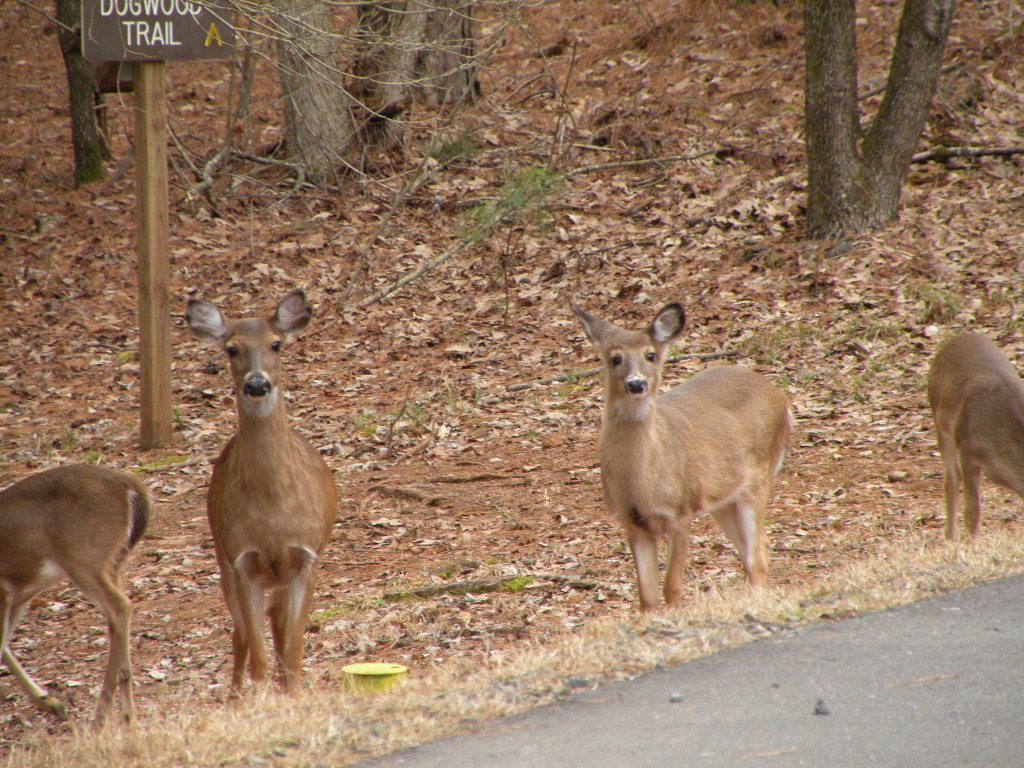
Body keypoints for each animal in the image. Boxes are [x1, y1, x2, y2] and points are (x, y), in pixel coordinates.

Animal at [0, 466, 150, 724]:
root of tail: (132, 487)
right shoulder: (16, 596)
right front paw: (49, 702)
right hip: (114, 561)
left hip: (83, 558)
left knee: (120, 606)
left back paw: (109, 716)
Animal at [186, 290, 337, 696]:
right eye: (232, 349)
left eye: (276, 344)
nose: (257, 384)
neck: (274, 505)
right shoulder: (242, 559)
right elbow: (258, 656)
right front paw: (258, 701)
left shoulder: (307, 556)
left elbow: (294, 649)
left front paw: (293, 697)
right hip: (222, 557)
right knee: (240, 635)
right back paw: (235, 699)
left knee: (277, 624)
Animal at [573, 303, 786, 610]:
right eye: (615, 358)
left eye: (650, 354)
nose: (636, 384)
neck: (642, 480)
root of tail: (781, 398)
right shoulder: (632, 523)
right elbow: (647, 597)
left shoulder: (680, 511)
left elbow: (671, 587)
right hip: (723, 498)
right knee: (755, 549)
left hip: (757, 478)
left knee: (756, 555)